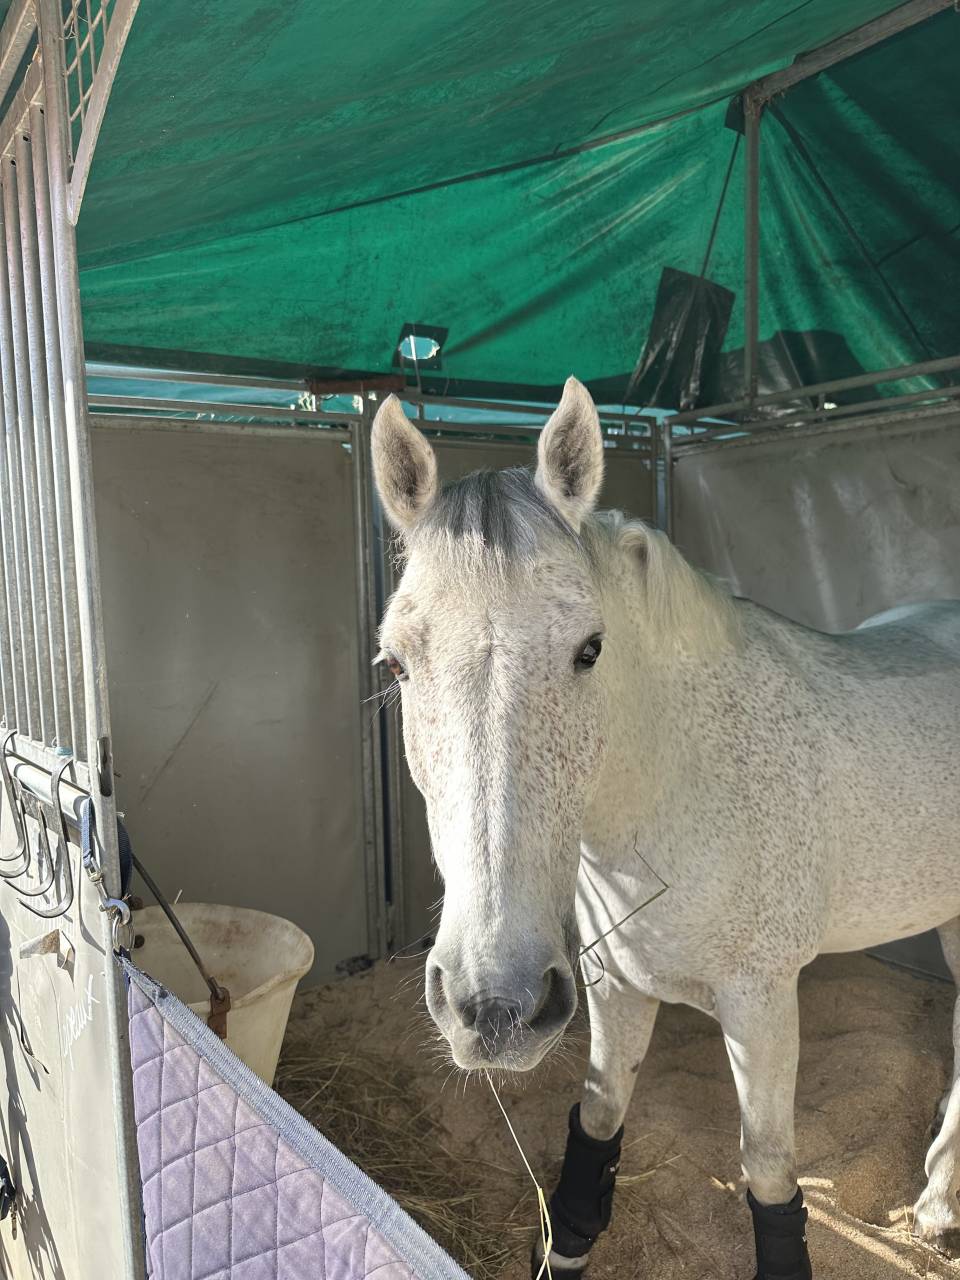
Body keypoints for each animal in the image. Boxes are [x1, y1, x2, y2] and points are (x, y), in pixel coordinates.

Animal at [370, 377, 960, 1279]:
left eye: (590, 648)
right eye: (398, 664)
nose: (494, 1007)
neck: (676, 796)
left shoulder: (762, 1002)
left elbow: (768, 1171)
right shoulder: (614, 987)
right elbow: (597, 1125)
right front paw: (569, 1239)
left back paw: (934, 1206)